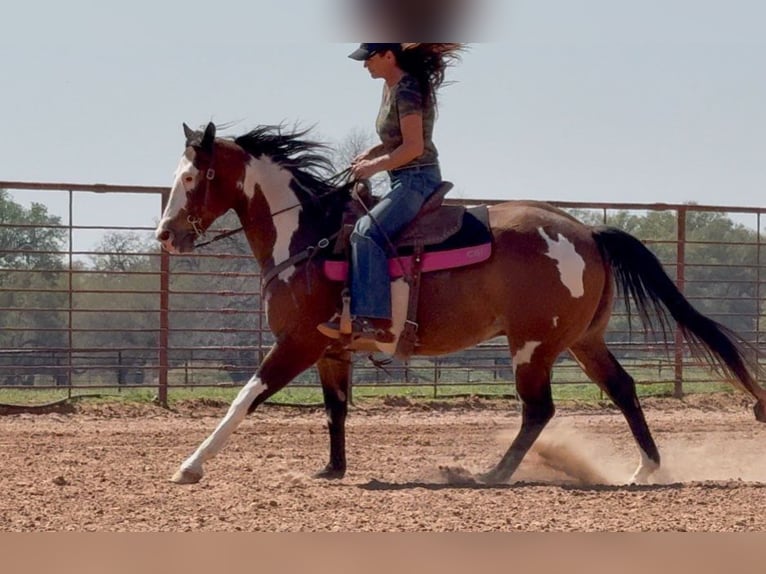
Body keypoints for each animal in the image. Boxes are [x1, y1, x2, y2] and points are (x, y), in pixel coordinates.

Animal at [155, 121, 766, 485]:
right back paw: (646, 469)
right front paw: (331, 470)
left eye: (193, 176)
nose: (166, 235)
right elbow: (335, 410)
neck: (311, 235)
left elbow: (244, 399)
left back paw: (493, 474)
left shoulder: (298, 342)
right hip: (580, 340)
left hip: (532, 346)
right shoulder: (331, 350)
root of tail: (587, 232)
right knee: (622, 389)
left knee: (539, 410)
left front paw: (190, 466)